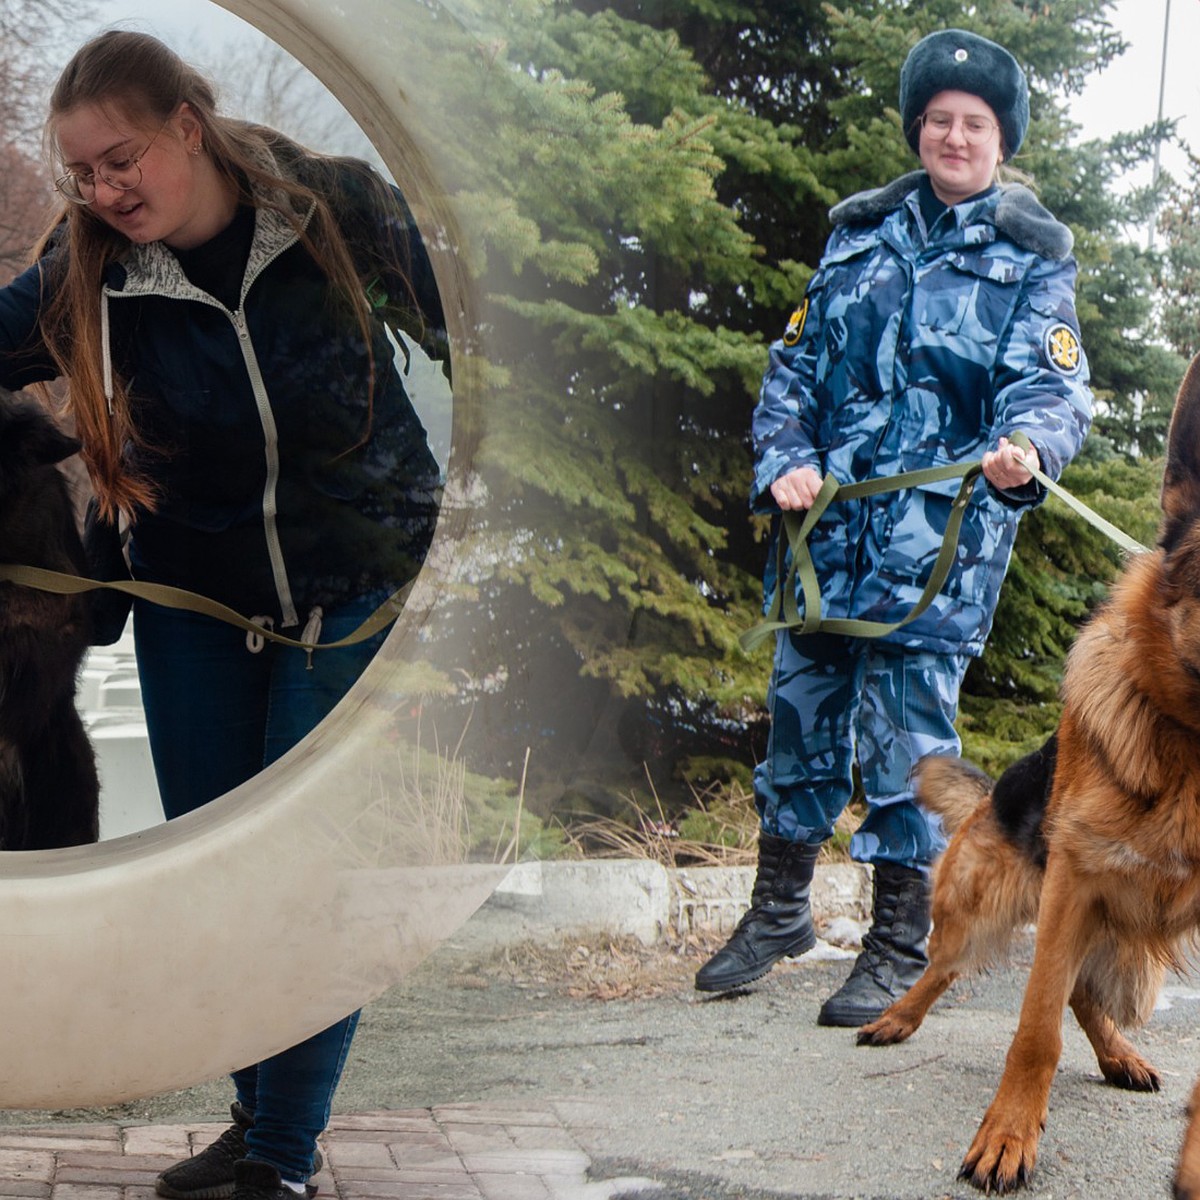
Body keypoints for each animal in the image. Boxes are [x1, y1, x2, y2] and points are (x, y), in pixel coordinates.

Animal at [859, 352, 1200, 1190]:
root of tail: (993, 796)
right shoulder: (1072, 885)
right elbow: (1034, 1029)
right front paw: (1009, 1135)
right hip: (986, 911)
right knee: (946, 968)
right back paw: (894, 1016)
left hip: (1131, 962)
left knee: (1086, 997)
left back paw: (1119, 1055)